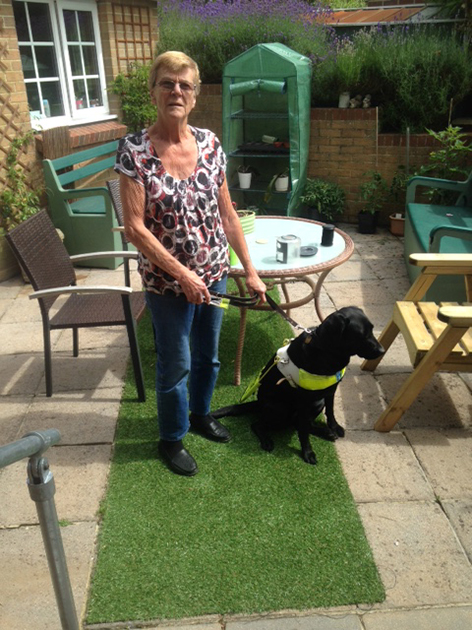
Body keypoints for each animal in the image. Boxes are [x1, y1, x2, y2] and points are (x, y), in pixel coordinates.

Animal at [213, 306, 384, 464]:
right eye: (361, 335)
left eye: (372, 329)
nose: (382, 351)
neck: (326, 351)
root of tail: (258, 403)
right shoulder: (304, 401)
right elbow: (303, 431)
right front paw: (307, 452)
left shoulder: (330, 391)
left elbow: (330, 411)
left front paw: (334, 427)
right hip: (280, 408)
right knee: (259, 424)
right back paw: (266, 440)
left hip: (317, 403)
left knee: (300, 423)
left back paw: (325, 432)